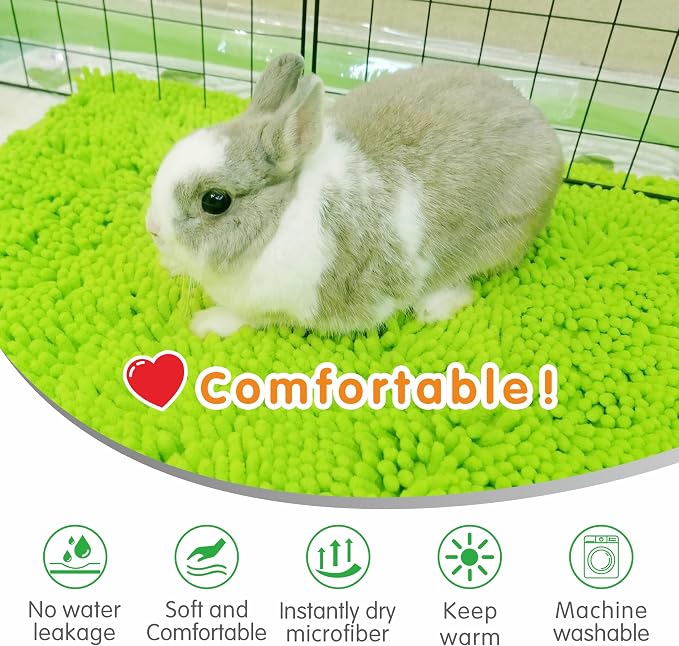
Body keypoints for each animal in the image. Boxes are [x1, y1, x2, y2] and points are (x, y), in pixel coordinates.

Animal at [146, 53, 563, 338]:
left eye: (215, 201)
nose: (152, 228)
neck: (279, 220)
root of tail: (545, 129)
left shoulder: (285, 304)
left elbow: (245, 317)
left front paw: (205, 323)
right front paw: (172, 265)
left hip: (492, 242)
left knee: (463, 284)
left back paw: (432, 309)